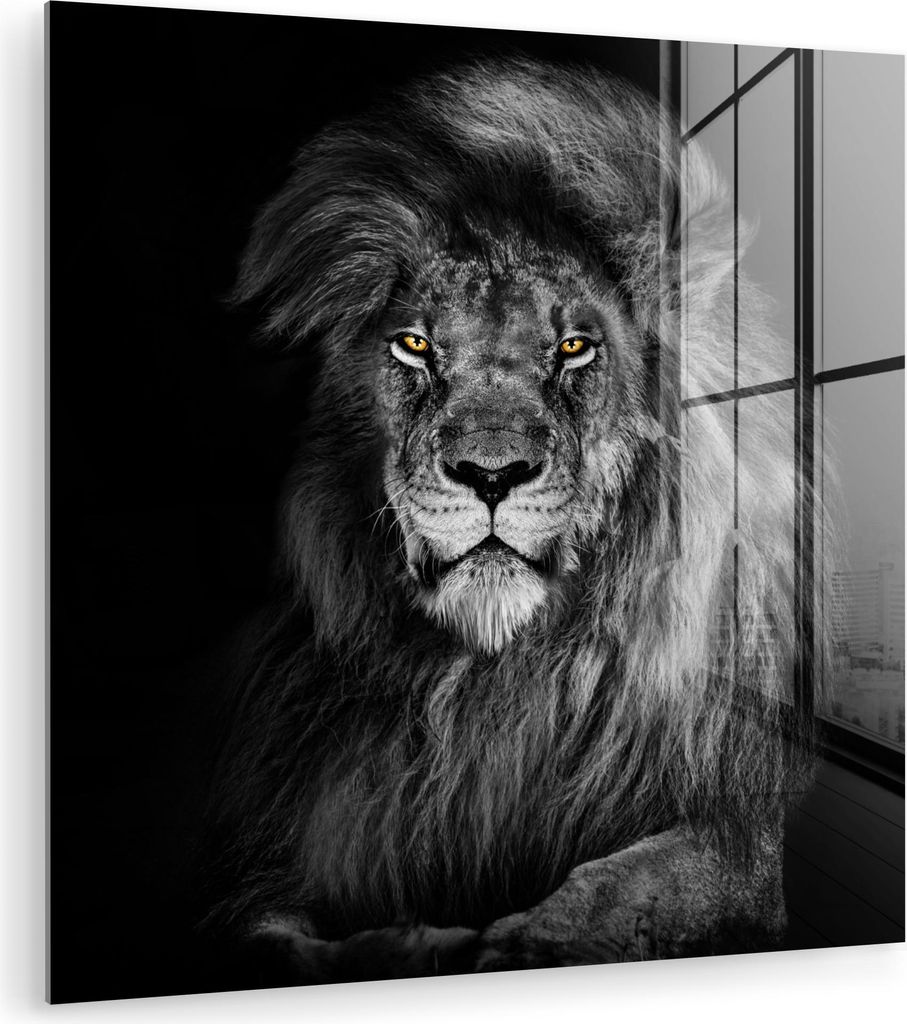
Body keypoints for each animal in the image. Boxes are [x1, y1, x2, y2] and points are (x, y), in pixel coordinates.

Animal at [200, 58, 824, 987]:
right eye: (415, 345)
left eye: (573, 347)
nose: (490, 475)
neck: (494, 685)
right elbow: (272, 940)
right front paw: (410, 948)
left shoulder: (736, 836)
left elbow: (613, 891)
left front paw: (516, 943)